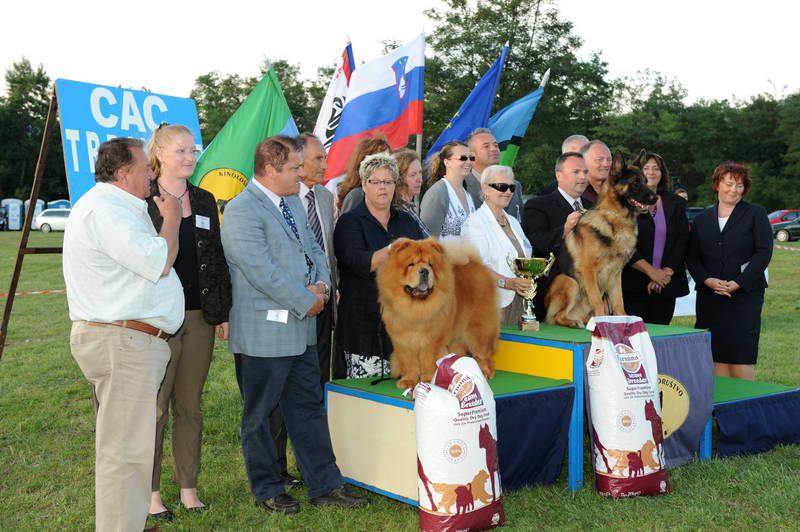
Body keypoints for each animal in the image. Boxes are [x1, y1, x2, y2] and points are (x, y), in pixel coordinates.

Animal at [376, 239, 500, 388]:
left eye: (430, 264)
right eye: (411, 264)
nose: (424, 271)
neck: (416, 309)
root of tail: (475, 263)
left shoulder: (432, 341)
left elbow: (428, 360)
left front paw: (428, 379)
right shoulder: (403, 342)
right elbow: (409, 362)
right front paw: (408, 381)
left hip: (478, 330)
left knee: (483, 353)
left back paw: (486, 372)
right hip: (456, 335)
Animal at [548, 152, 660, 328]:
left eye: (646, 181)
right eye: (635, 183)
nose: (656, 198)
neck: (616, 217)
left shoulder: (616, 273)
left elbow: (619, 302)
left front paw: (624, 321)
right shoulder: (589, 271)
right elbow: (598, 301)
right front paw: (601, 323)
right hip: (570, 281)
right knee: (556, 317)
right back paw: (574, 322)